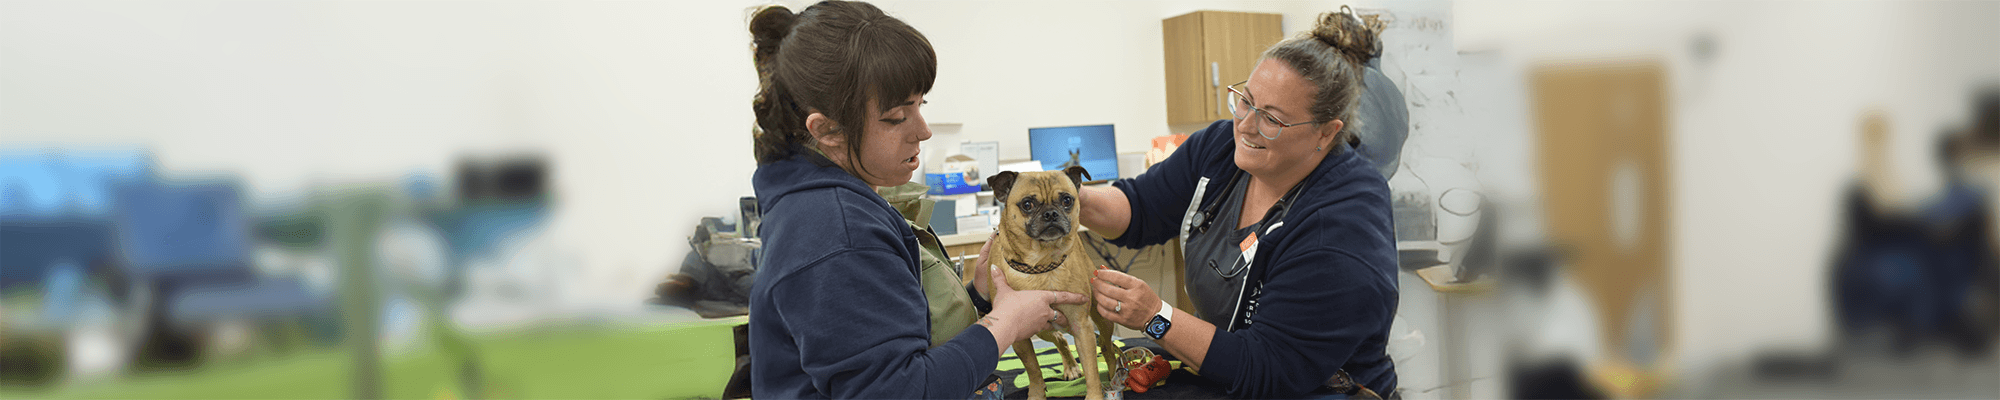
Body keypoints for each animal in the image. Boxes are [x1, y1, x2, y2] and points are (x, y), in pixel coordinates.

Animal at [983, 166, 1120, 400]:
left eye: (1067, 200)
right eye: (1027, 204)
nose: (1050, 213)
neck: (1042, 264)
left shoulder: (1082, 327)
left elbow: (1091, 370)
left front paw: (1095, 395)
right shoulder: (1021, 339)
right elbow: (1033, 370)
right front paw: (1037, 394)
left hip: (1101, 318)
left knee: (1107, 347)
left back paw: (1113, 377)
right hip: (1043, 329)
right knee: (1061, 339)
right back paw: (1071, 367)